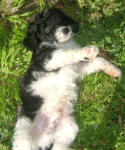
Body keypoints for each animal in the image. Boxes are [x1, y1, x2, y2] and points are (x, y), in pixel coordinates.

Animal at [11, 7, 121, 150]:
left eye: (60, 20)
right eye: (46, 29)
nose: (65, 30)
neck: (61, 44)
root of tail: (44, 140)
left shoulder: (78, 70)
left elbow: (98, 61)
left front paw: (114, 70)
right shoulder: (48, 59)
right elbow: (66, 54)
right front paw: (88, 51)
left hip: (68, 129)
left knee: (60, 146)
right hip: (24, 130)